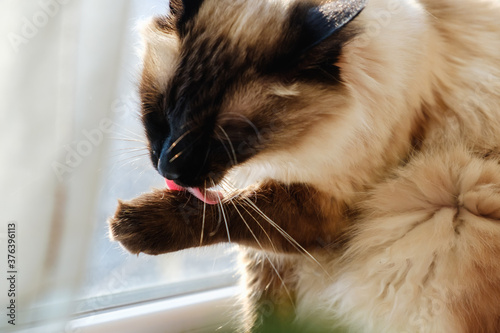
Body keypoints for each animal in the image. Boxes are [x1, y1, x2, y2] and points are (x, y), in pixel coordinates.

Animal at [107, 0, 500, 330]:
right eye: (166, 112)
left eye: (225, 137)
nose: (169, 170)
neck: (283, 151)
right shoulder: (267, 258)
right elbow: (263, 312)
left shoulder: (328, 212)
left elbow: (231, 212)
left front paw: (131, 225)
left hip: (451, 192)